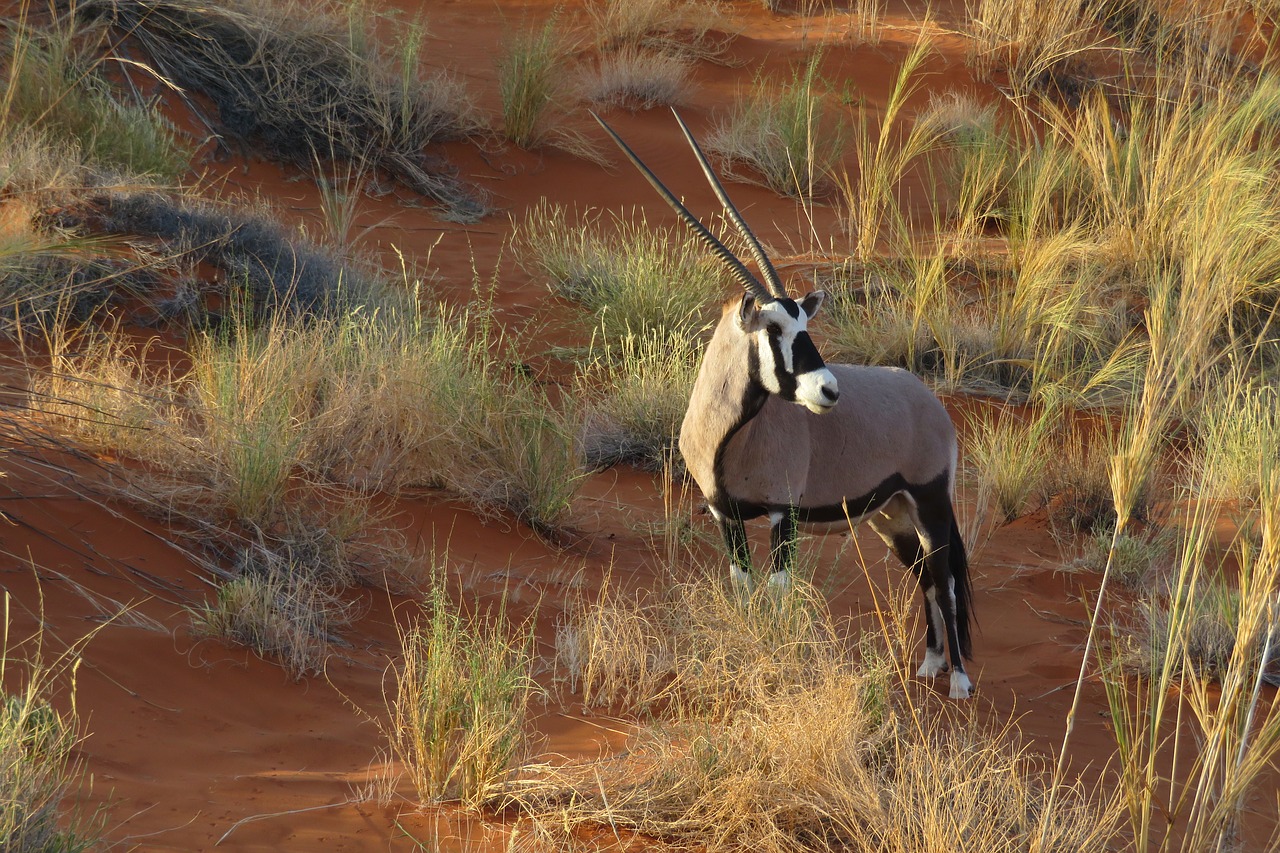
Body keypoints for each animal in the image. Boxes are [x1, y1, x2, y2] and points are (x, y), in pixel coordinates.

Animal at [593, 111, 972, 696]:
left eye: (804, 325)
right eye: (774, 329)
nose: (829, 391)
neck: (727, 438)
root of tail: (929, 402)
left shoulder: (783, 514)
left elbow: (776, 592)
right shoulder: (723, 514)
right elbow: (743, 587)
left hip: (930, 501)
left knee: (945, 579)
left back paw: (958, 682)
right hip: (892, 515)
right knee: (925, 578)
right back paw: (929, 664)